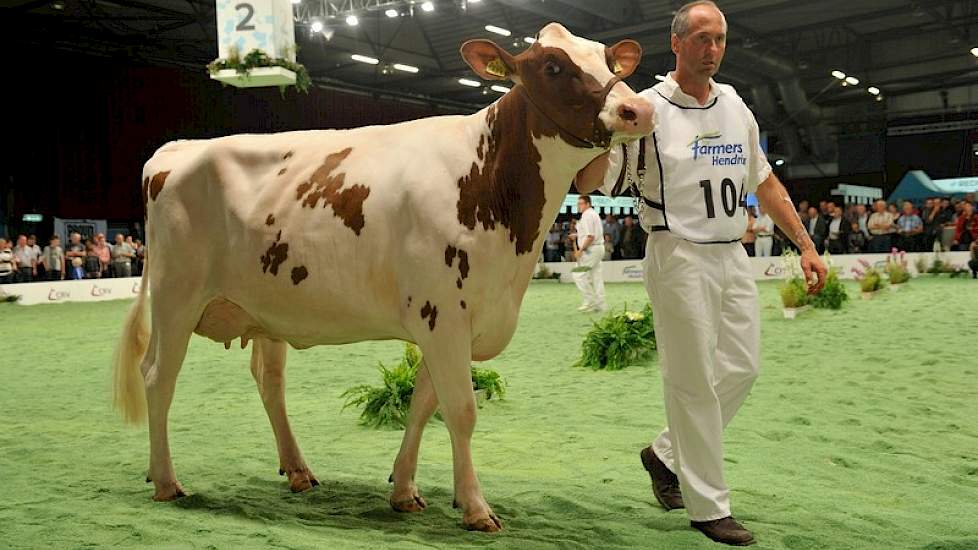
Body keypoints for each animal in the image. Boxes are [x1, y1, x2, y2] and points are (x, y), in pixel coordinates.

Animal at [112, 23, 648, 532]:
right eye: (553, 66)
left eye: (606, 60)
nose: (637, 109)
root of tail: (175, 150)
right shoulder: (443, 316)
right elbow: (461, 411)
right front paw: (476, 507)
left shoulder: (452, 323)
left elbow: (423, 405)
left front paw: (405, 490)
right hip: (176, 295)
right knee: (157, 377)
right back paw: (166, 481)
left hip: (265, 307)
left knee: (269, 381)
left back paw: (297, 471)